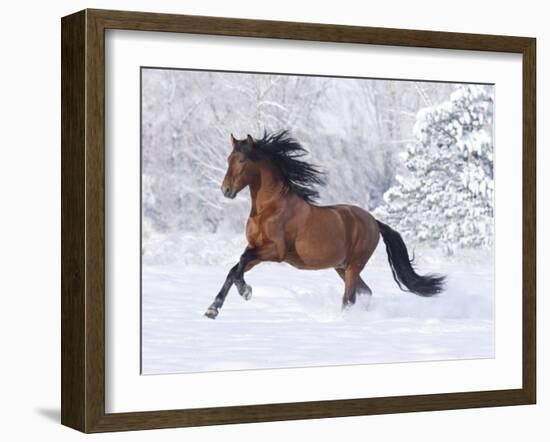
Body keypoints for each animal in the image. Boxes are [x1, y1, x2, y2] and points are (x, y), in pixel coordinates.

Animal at [205, 129, 446, 320]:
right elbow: (235, 269)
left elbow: (241, 261)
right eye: (228, 159)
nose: (226, 190)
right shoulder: (256, 248)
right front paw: (214, 308)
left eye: (242, 161)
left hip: (354, 265)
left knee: (349, 298)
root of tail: (374, 222)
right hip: (342, 267)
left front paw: (244, 291)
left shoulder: (275, 251)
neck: (270, 209)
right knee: (365, 292)